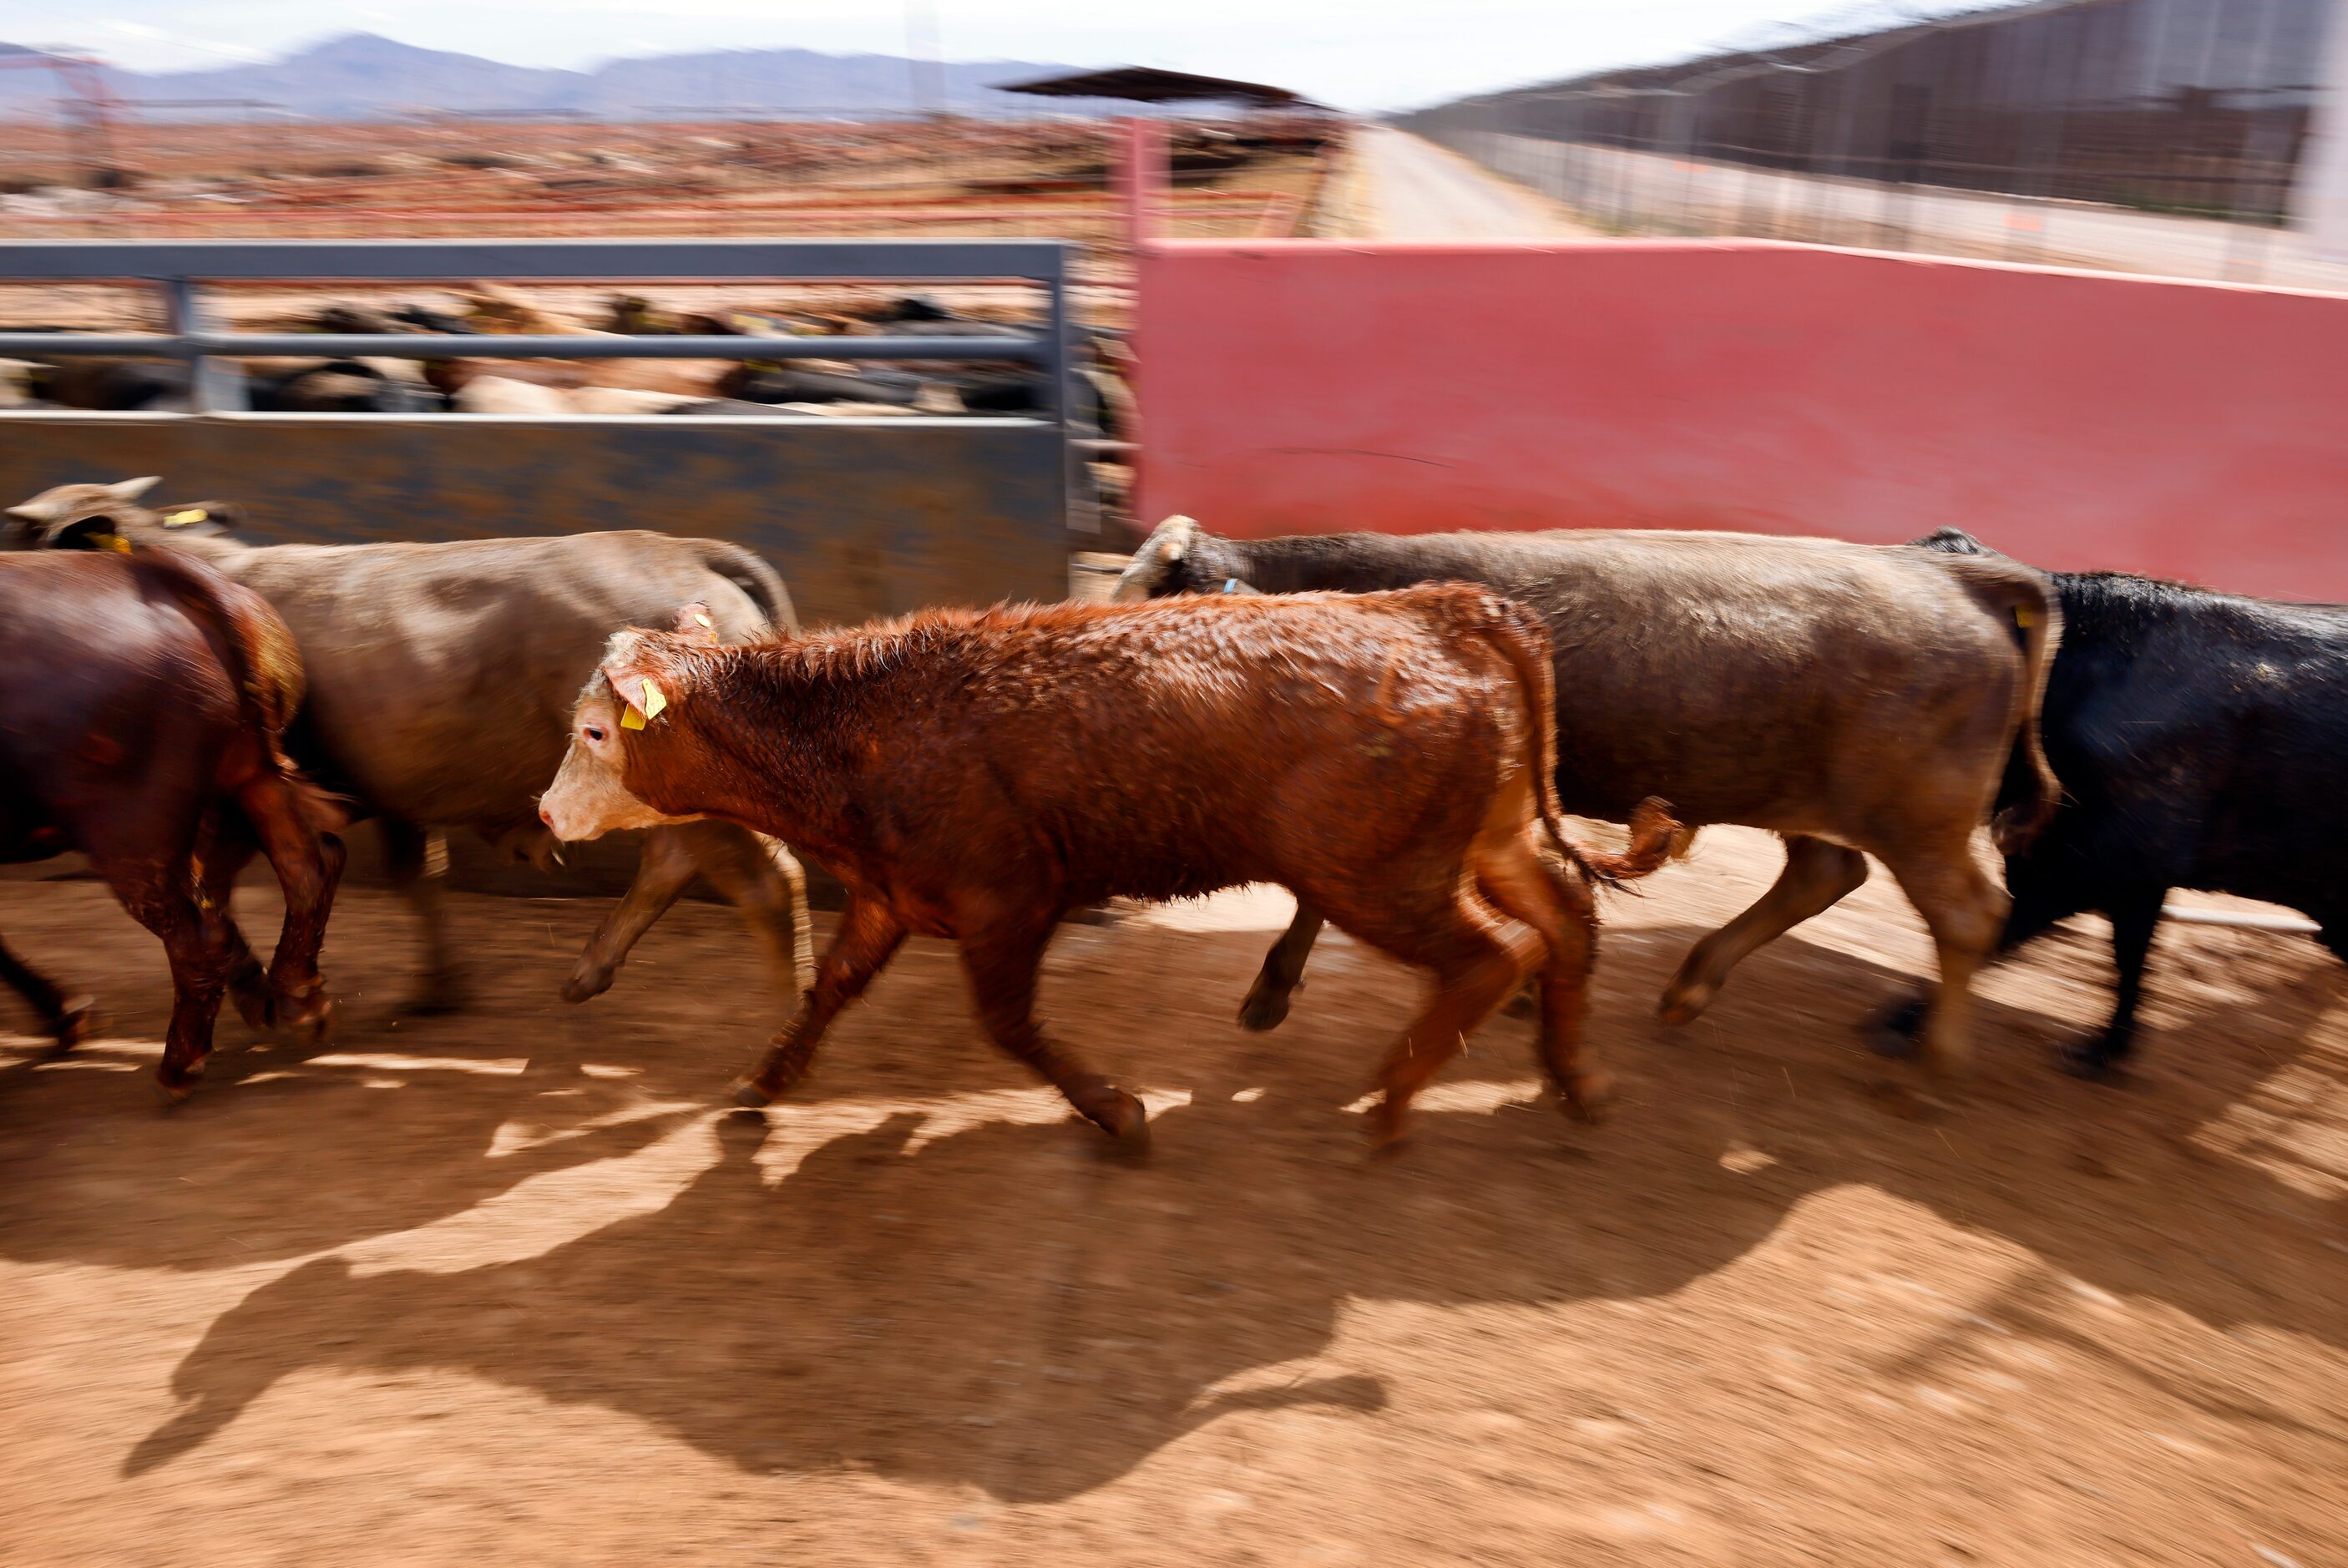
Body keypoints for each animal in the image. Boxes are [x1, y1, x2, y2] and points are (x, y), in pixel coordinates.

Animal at [0, 544, 342, 1098]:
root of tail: (155, 573)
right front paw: (65, 1016)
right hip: (251, 781)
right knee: (309, 868)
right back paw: (297, 1000)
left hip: (133, 834)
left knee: (199, 935)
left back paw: (181, 1066)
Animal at [539, 586, 1681, 1150]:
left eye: (595, 732)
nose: (545, 810)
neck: (857, 728)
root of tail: (1453, 612)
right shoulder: (888, 899)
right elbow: (828, 991)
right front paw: (760, 1085)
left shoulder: (1006, 902)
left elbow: (1009, 1026)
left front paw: (1116, 1111)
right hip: (1487, 837)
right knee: (1565, 918)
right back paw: (1574, 1079)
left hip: (1382, 877)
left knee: (1497, 952)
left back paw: (1398, 1103)